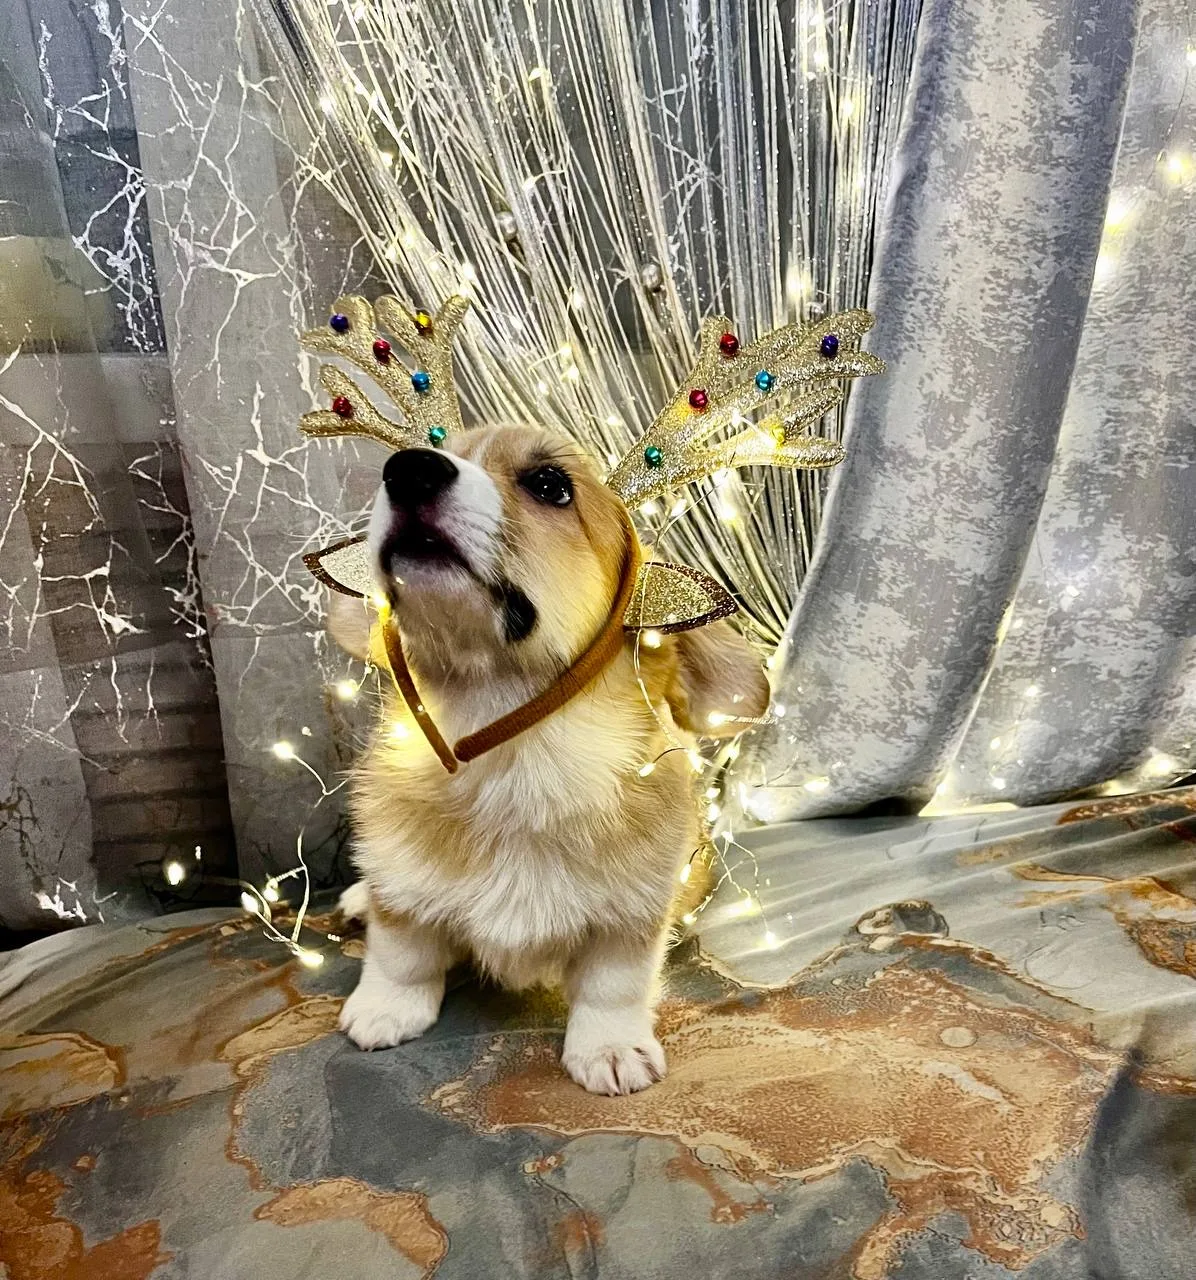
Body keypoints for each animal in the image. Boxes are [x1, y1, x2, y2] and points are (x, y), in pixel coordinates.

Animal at [327, 425, 768, 1094]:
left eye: (549, 485)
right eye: (439, 451)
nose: (408, 470)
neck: (515, 757)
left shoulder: (632, 915)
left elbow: (613, 985)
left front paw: (609, 1048)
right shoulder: (402, 883)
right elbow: (402, 949)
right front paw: (385, 1009)